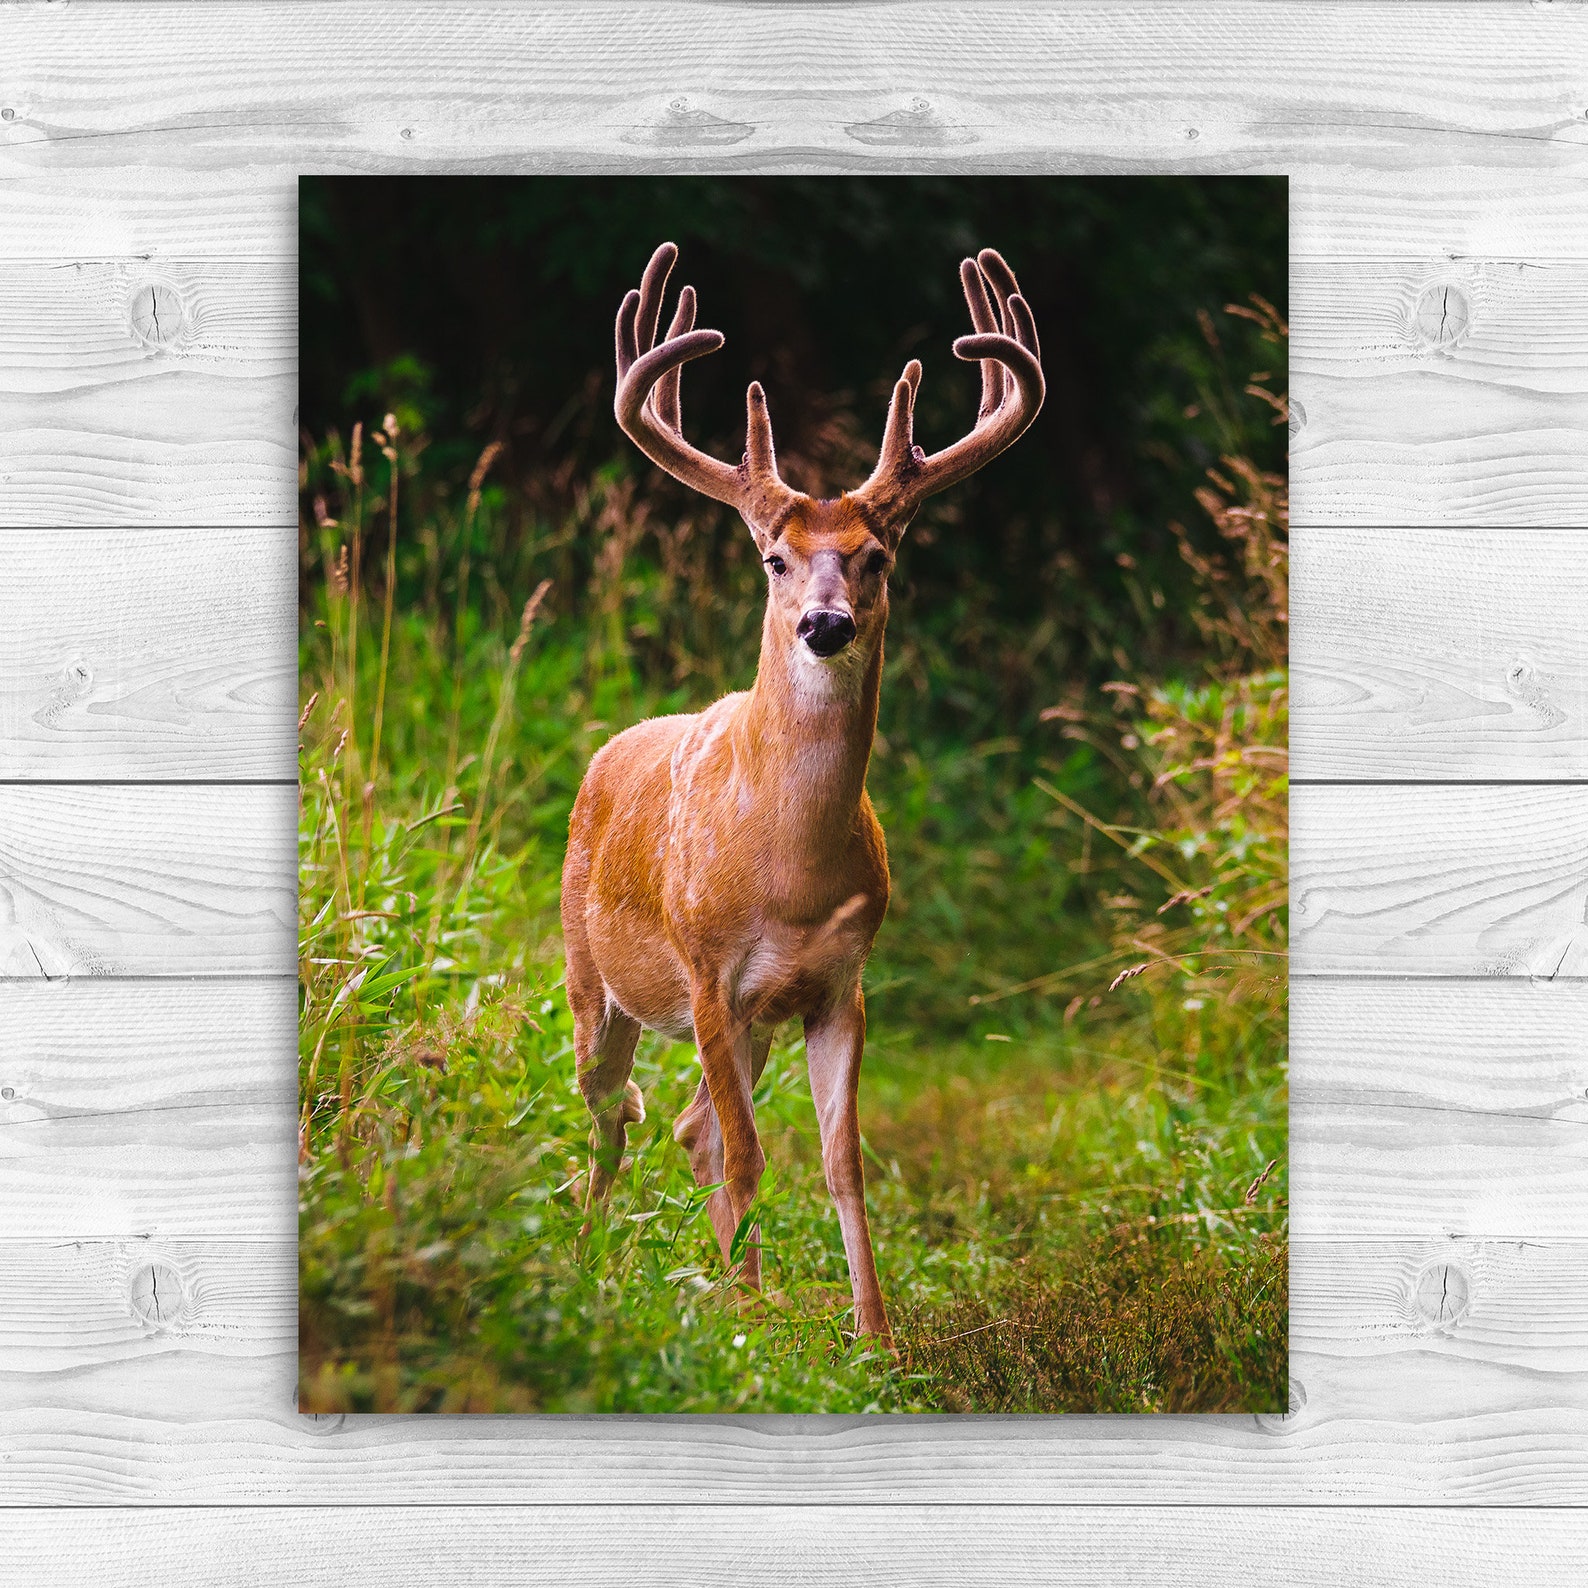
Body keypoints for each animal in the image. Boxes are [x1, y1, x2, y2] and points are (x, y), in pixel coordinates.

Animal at [561, 240, 1043, 1342]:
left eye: (877, 557)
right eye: (775, 558)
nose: (824, 623)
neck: (788, 872)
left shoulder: (838, 983)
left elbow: (840, 1160)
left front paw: (875, 1335)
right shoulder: (707, 973)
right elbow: (749, 1155)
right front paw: (743, 1332)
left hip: (757, 1024)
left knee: (687, 1123)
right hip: (592, 976)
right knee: (610, 1110)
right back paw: (597, 1257)